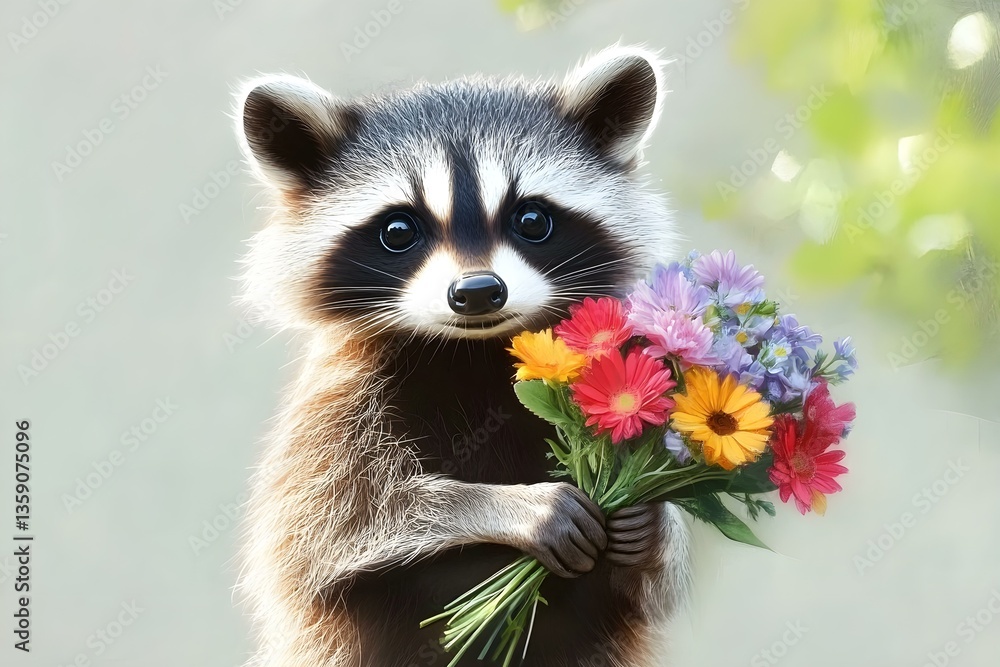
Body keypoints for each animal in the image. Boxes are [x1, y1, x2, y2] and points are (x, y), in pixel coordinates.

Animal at [235, 45, 689, 667]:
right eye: (398, 230)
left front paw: (653, 521)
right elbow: (326, 525)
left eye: (531, 219)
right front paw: (496, 505)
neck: (472, 351)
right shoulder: (340, 397)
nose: (477, 292)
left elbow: (659, 587)